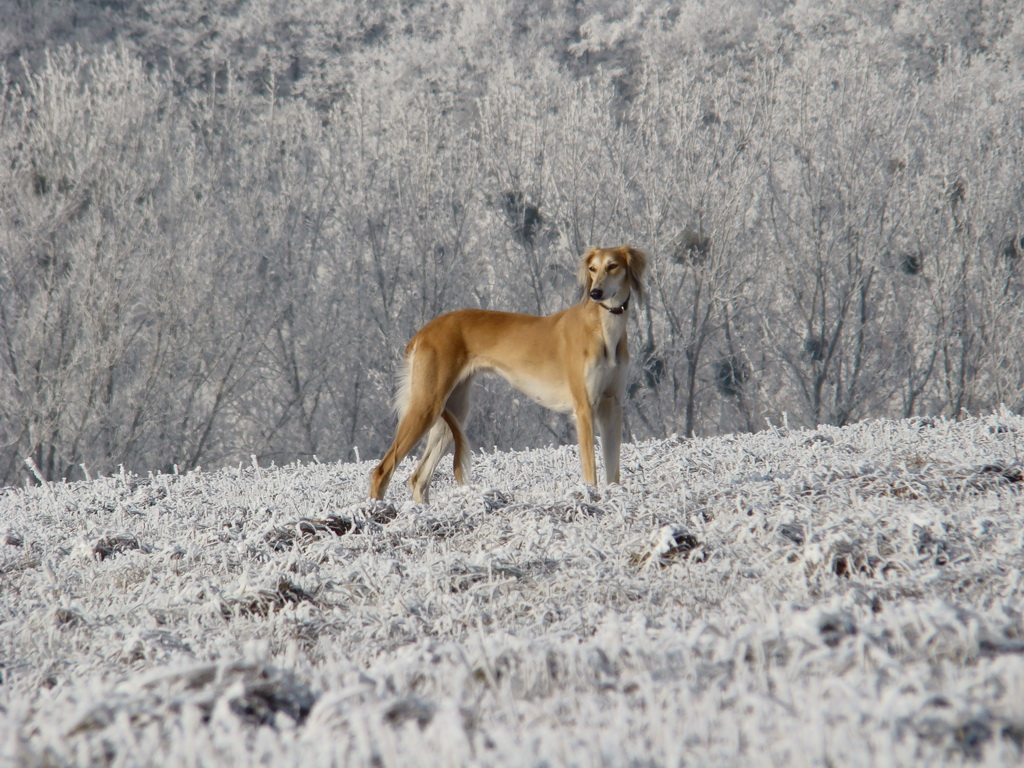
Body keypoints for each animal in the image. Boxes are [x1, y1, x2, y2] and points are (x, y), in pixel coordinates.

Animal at [366, 243, 647, 501]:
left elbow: (613, 470)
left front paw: (614, 498)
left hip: (451, 412)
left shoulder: (612, 405)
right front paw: (592, 496)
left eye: (613, 265)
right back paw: (377, 512)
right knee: (382, 470)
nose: (595, 293)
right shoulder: (584, 408)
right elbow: (591, 470)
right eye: (592, 268)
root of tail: (423, 332)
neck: (604, 330)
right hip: (426, 406)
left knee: (418, 478)